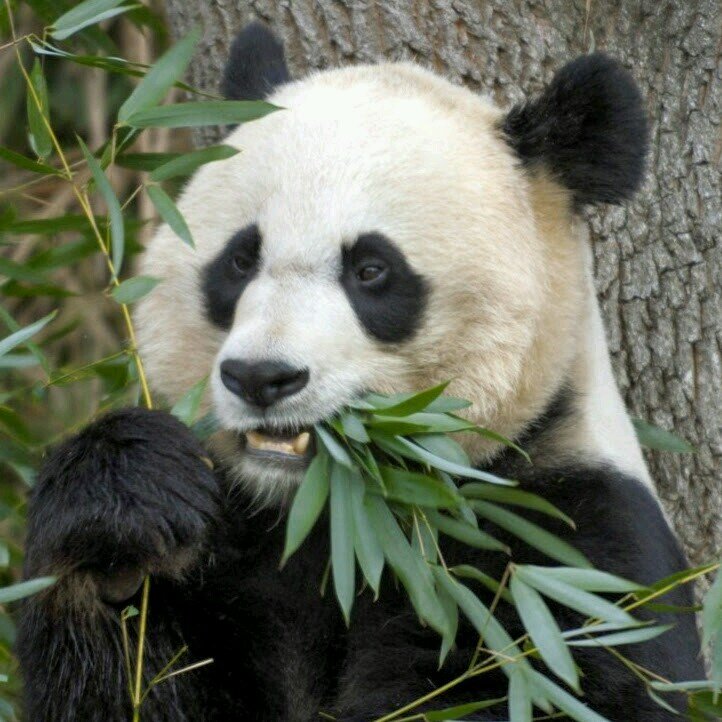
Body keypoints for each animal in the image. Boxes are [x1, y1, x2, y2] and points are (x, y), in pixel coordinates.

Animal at [17, 22, 703, 722]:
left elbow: (554, 677)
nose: (261, 377)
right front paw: (124, 519)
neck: (332, 516)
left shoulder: (562, 552)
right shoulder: (234, 541)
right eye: (240, 260)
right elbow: (132, 672)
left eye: (371, 269)